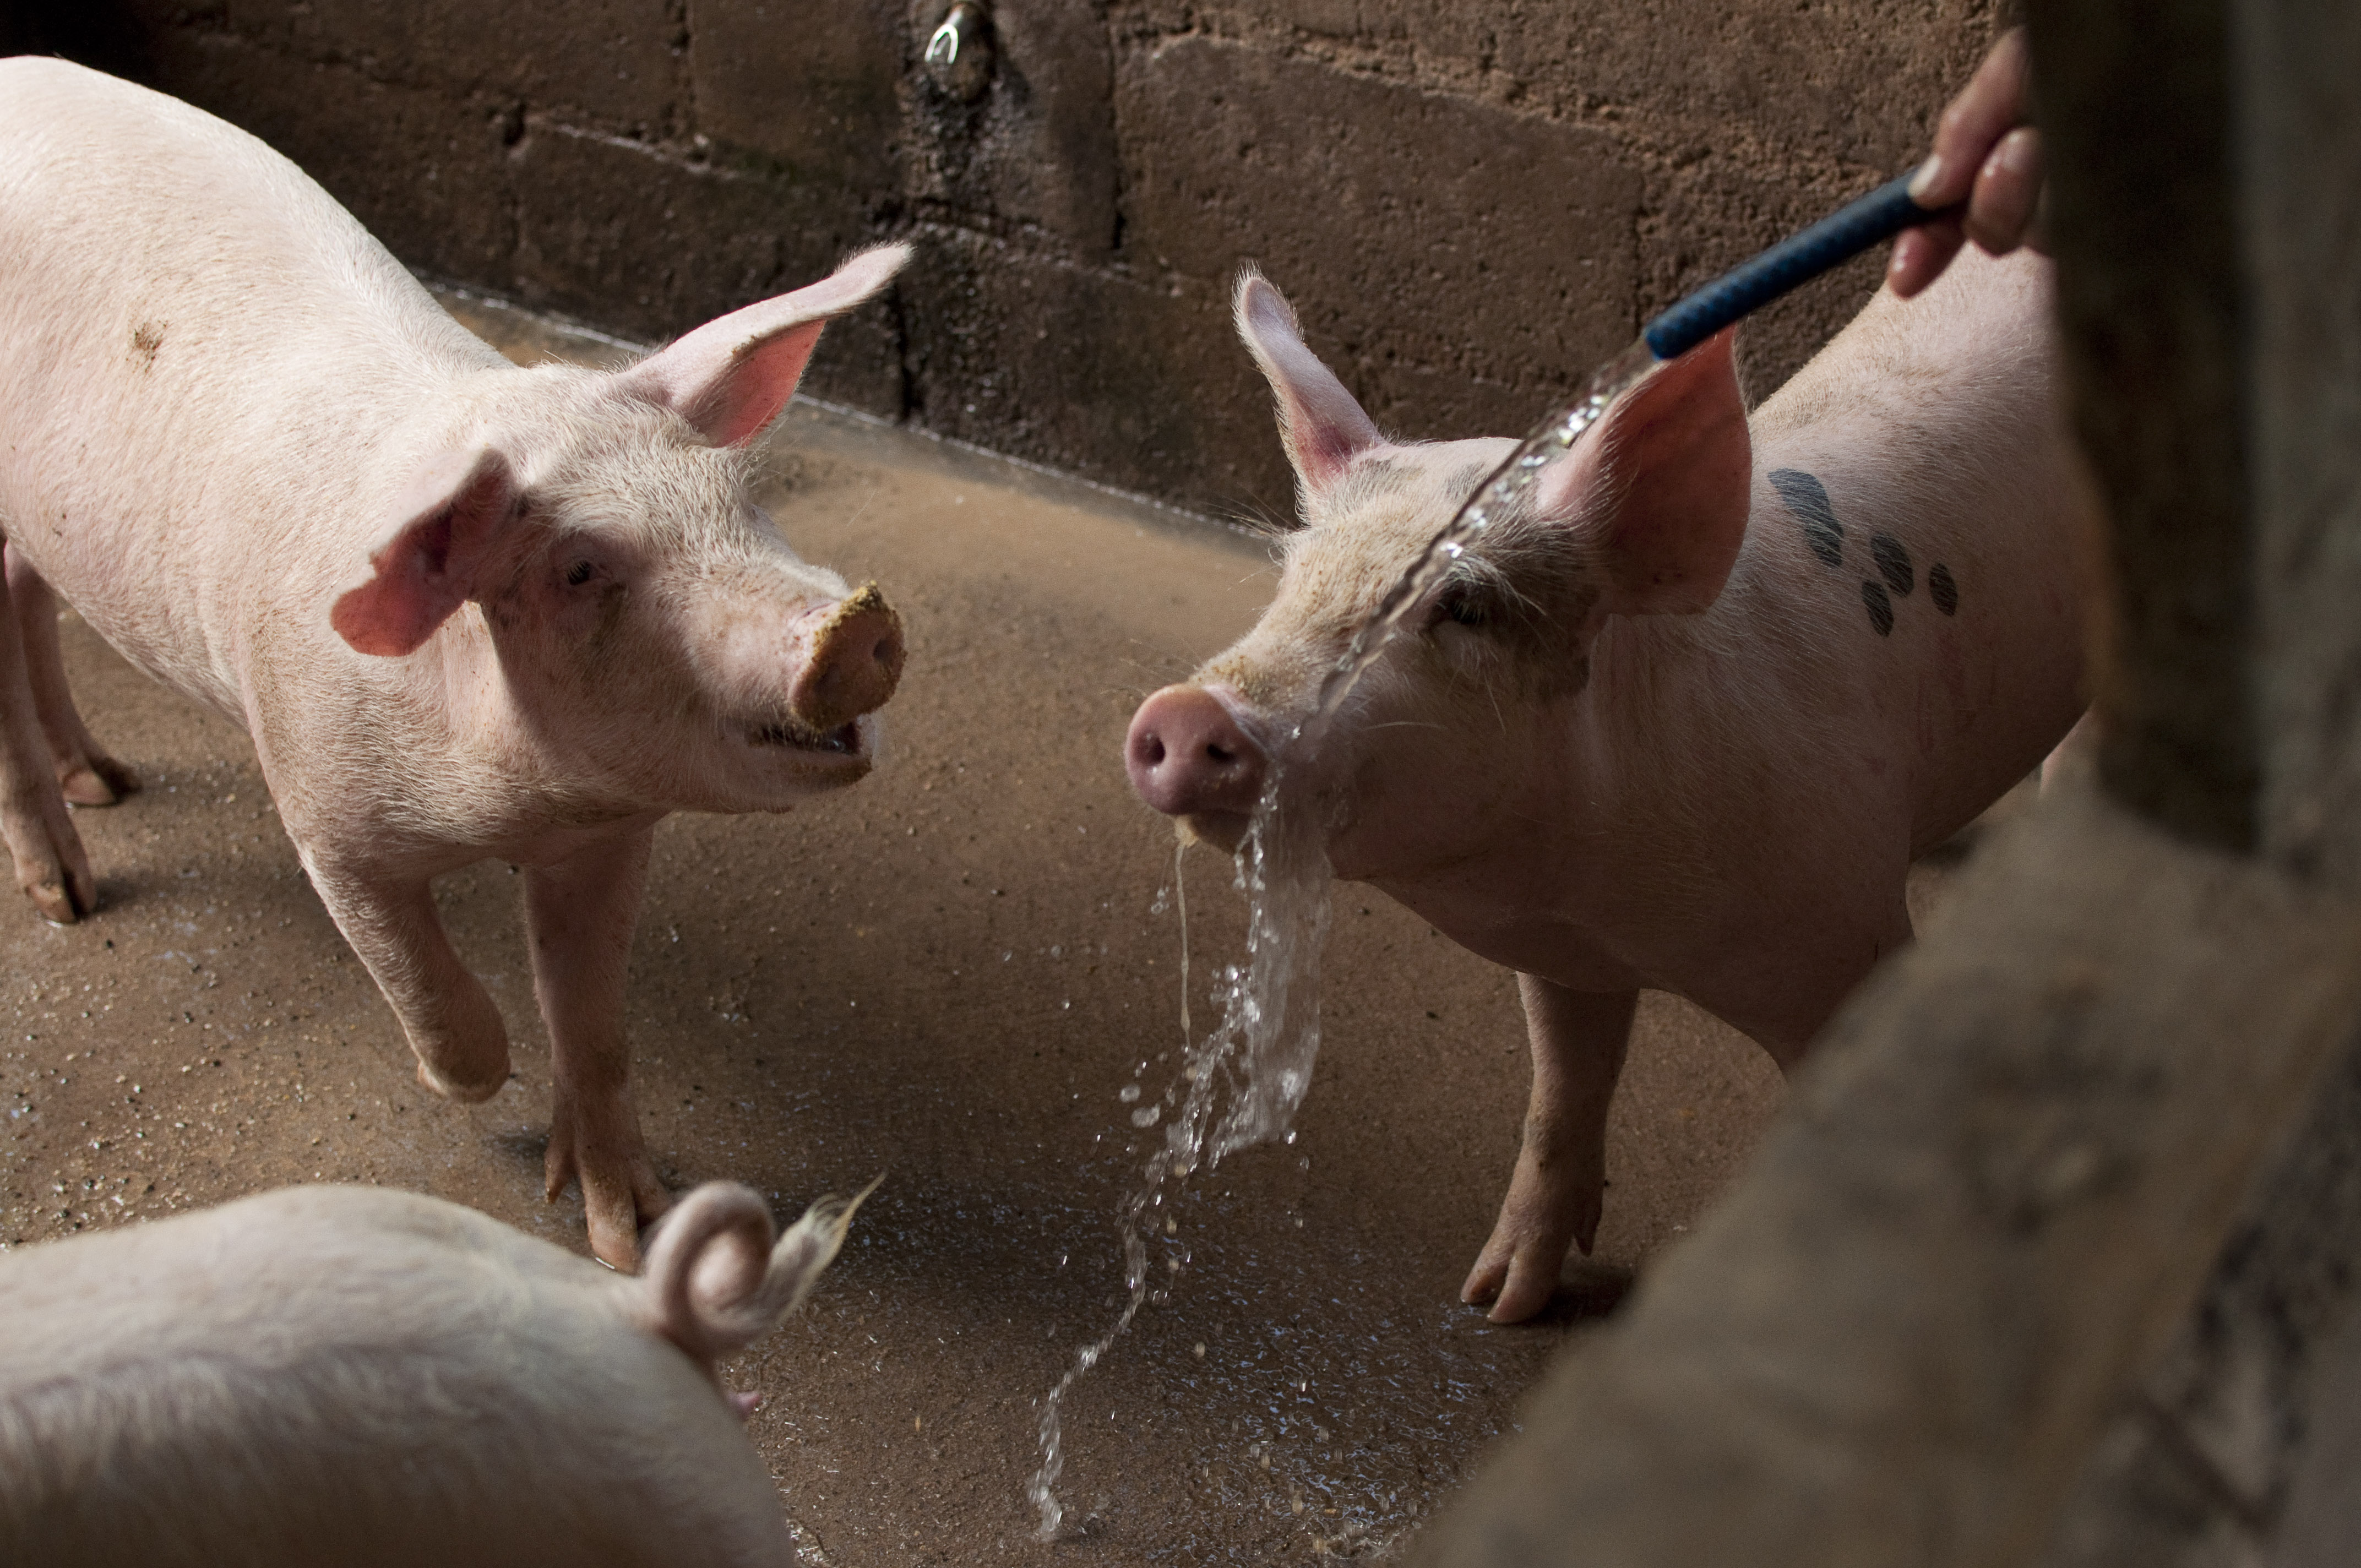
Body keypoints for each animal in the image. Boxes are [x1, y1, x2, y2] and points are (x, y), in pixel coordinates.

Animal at [0, 59, 909, 1266]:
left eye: (739, 495)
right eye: (579, 568)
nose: (853, 624)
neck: (507, 805)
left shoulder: (608, 833)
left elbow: (595, 1018)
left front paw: (628, 1233)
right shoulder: (321, 810)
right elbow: (433, 993)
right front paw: (479, 1091)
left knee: (26, 590)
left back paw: (108, 781)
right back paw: (70, 899)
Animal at [1126, 248, 2084, 1322]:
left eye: (1465, 606)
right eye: (1293, 574)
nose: (1189, 715)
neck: (1620, 901)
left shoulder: (1850, 936)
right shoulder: (1564, 955)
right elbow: (1559, 1096)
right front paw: (1496, 1303)